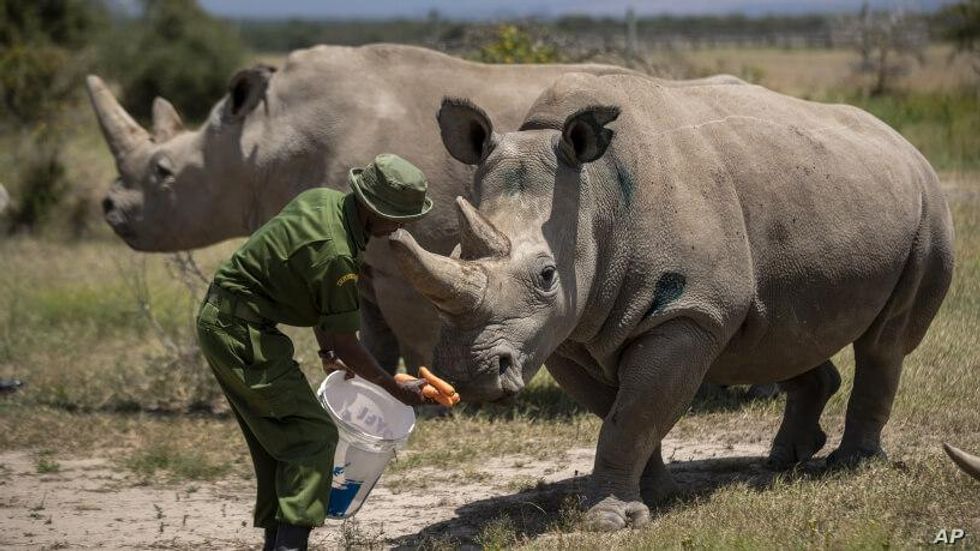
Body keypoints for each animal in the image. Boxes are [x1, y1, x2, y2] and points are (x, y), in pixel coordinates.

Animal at [86, 44, 638, 371]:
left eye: (162, 172)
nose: (109, 207)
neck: (256, 142)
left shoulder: (405, 259)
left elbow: (413, 331)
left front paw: (435, 391)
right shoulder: (367, 261)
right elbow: (372, 332)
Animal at [390, 72, 955, 529]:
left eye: (547, 275)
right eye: (455, 251)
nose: (467, 374)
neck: (595, 197)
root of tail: (900, 140)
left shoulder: (688, 313)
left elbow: (633, 414)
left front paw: (609, 521)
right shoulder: (568, 330)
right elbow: (622, 412)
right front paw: (655, 498)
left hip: (929, 207)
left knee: (884, 342)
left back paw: (850, 465)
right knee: (782, 331)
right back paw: (785, 460)